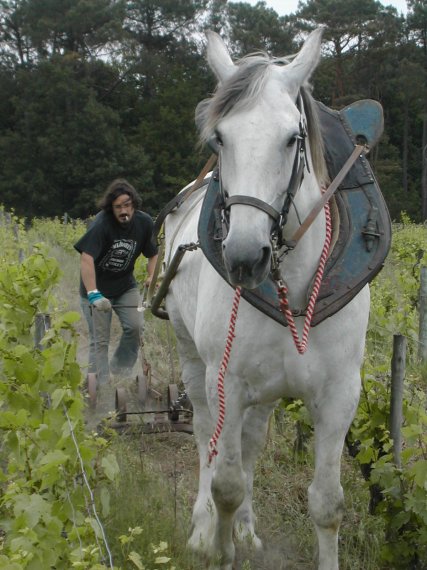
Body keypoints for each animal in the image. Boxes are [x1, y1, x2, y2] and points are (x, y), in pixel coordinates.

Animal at [164, 27, 372, 568]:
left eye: (292, 138)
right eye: (219, 138)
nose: (243, 256)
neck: (291, 289)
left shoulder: (341, 394)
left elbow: (327, 504)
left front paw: (242, 532)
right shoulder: (228, 382)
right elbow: (227, 484)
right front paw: (218, 548)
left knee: (253, 441)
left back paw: (246, 529)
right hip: (192, 360)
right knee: (205, 437)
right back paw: (203, 529)